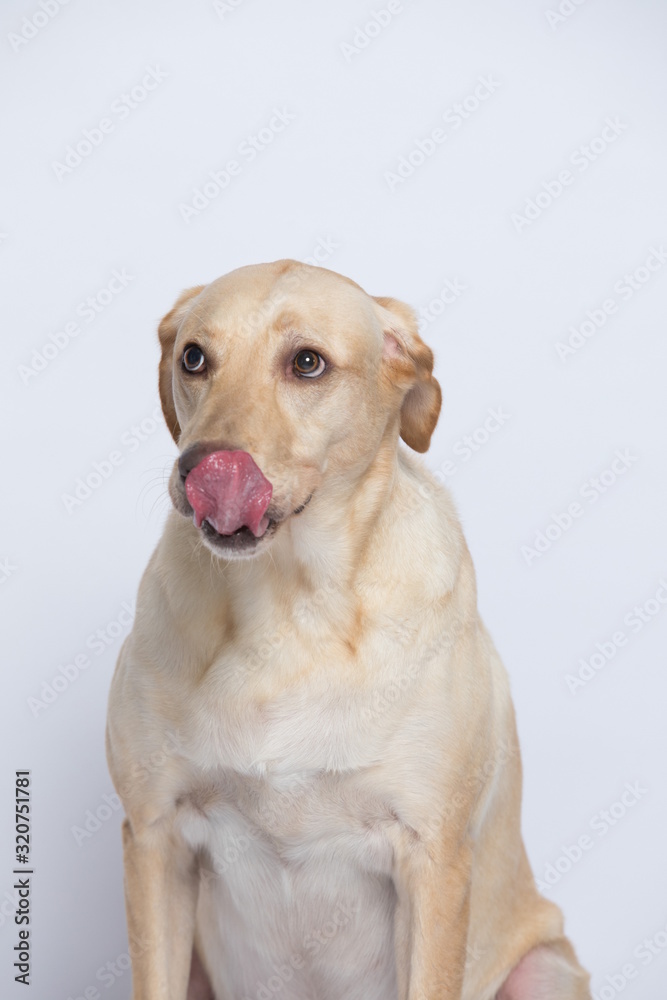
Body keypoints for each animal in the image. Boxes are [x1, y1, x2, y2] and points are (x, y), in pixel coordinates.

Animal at [107, 262, 592, 1000]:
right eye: (194, 358)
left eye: (307, 363)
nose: (201, 469)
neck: (289, 610)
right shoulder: (155, 838)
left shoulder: (431, 859)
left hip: (544, 966)